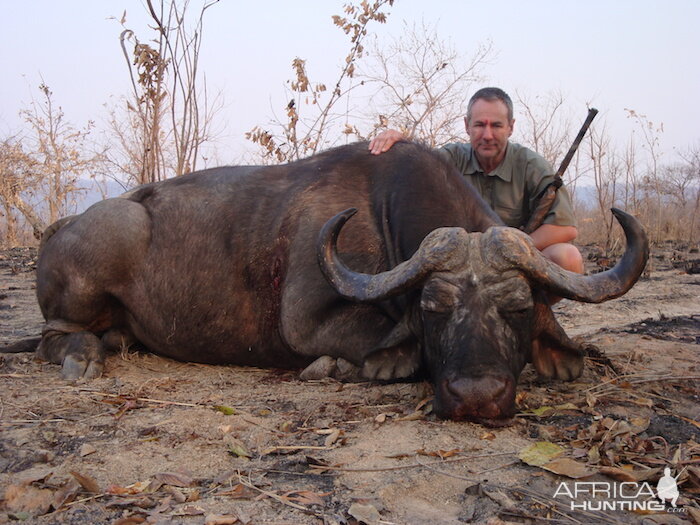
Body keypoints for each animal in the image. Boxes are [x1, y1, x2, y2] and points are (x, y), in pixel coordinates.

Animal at [8, 141, 648, 424]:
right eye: (433, 308)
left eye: (517, 308)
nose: (476, 396)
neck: (383, 208)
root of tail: (63, 226)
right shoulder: (310, 322)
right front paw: (339, 367)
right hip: (105, 248)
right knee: (52, 336)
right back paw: (85, 356)